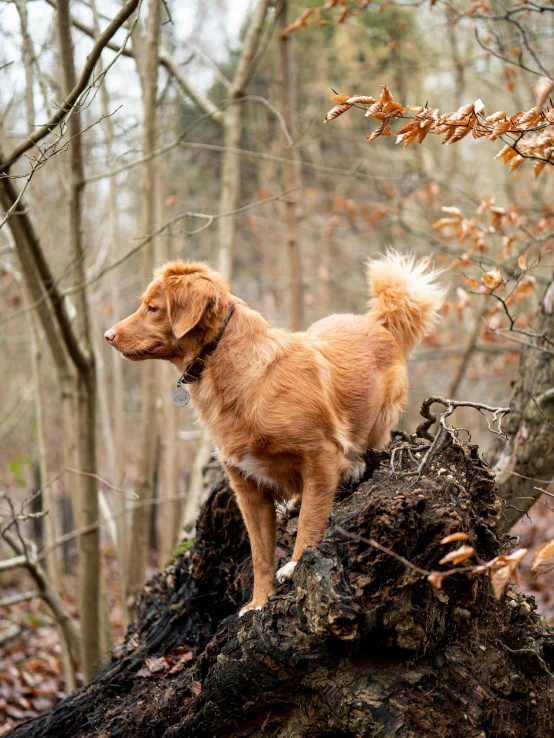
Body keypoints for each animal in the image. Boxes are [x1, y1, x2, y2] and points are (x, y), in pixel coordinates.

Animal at [104, 250, 444, 612]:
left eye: (153, 308)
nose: (108, 335)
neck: (234, 371)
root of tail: (376, 323)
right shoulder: (247, 487)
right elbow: (260, 553)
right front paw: (259, 601)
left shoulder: (320, 454)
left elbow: (310, 520)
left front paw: (296, 565)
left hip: (379, 420)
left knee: (366, 449)